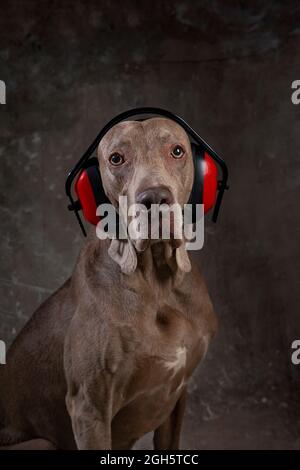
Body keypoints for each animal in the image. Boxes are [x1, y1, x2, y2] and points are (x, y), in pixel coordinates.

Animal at [0, 115, 217, 450]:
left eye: (177, 151)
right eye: (116, 158)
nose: (155, 198)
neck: (157, 283)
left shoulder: (177, 395)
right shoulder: (90, 406)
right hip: (41, 442)